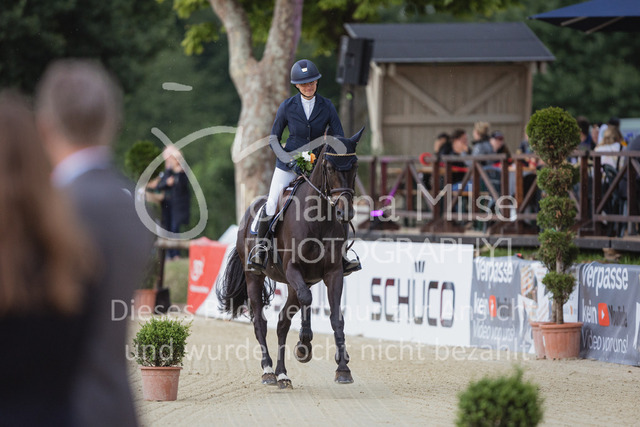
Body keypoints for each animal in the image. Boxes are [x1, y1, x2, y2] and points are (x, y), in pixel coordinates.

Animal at [217, 130, 362, 389]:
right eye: (329, 167)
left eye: (354, 165)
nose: (345, 212)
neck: (318, 218)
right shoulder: (294, 269)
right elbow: (307, 299)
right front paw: (304, 344)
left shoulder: (333, 273)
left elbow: (336, 317)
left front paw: (343, 368)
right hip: (254, 277)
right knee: (260, 322)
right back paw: (268, 371)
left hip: (294, 284)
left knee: (282, 322)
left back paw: (282, 374)